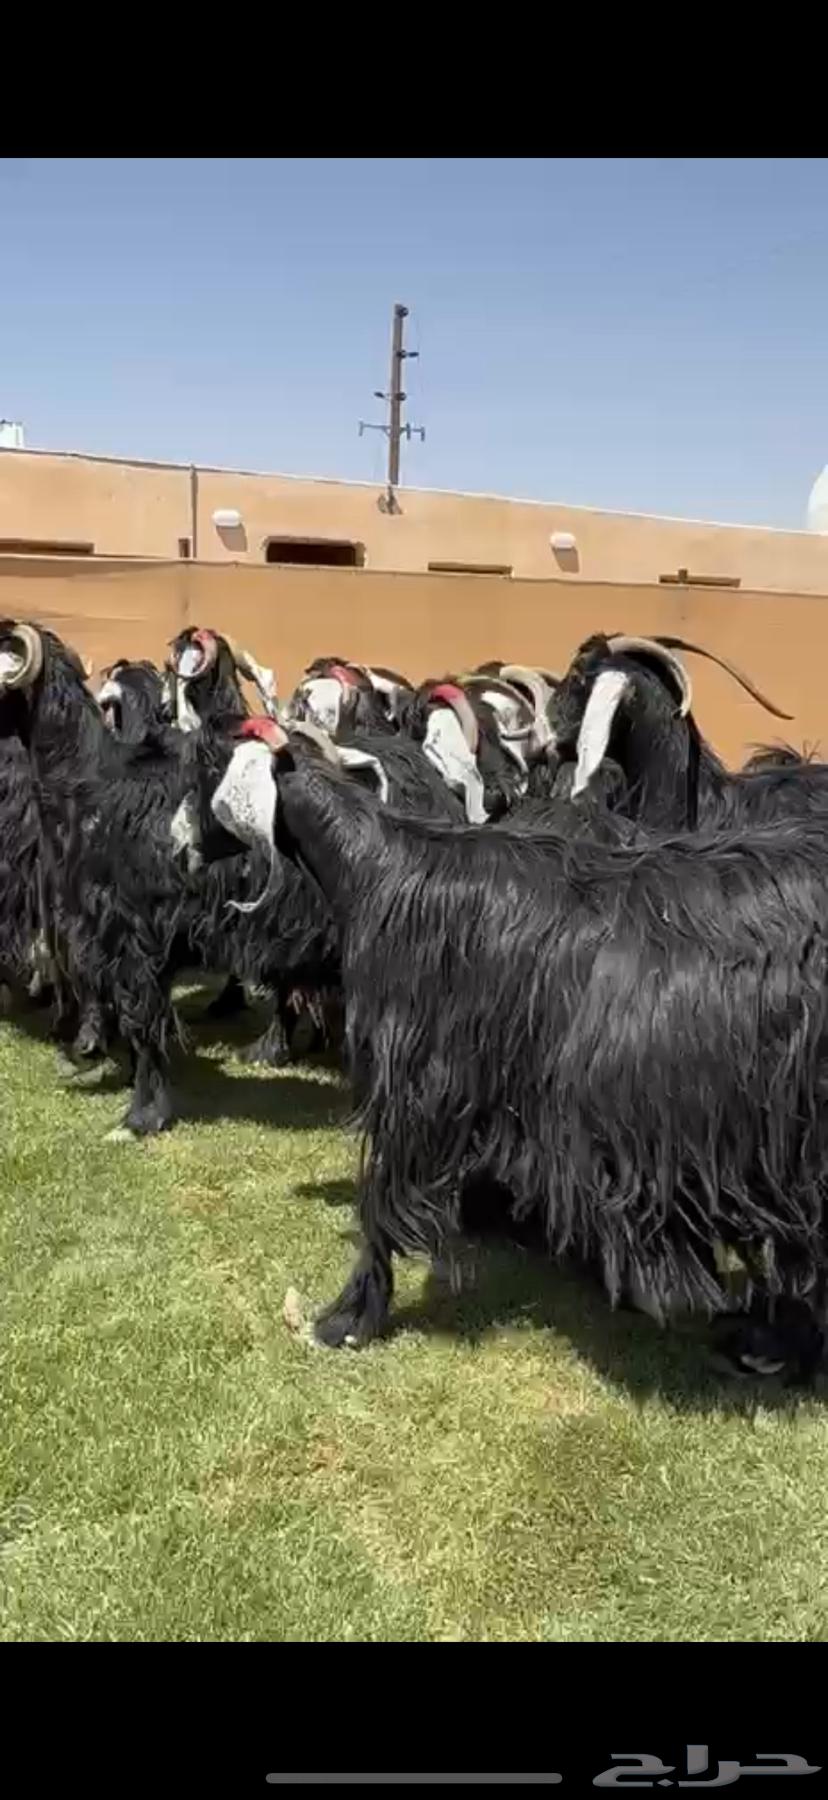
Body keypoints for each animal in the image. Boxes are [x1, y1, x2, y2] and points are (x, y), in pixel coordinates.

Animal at [208, 718, 828, 1384]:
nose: (184, 848)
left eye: (215, 776)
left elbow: (382, 1202)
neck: (381, 872)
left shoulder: (419, 1083)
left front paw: (348, 1317)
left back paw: (772, 1345)